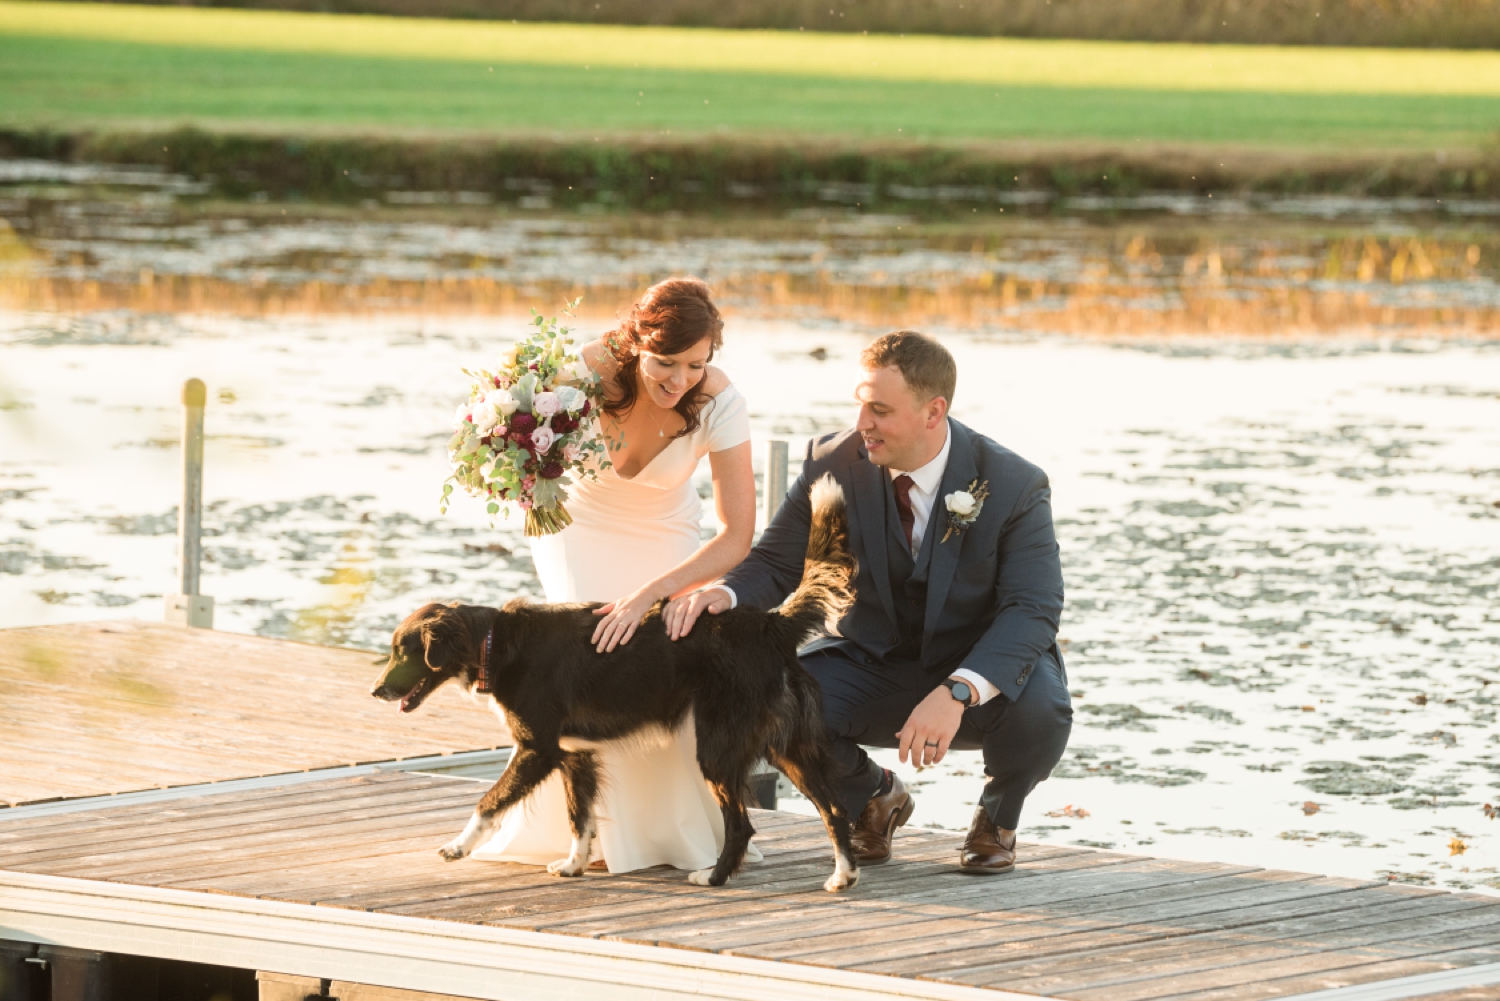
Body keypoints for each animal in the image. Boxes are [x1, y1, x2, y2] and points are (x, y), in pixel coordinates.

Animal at [370, 477, 864, 894]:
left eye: (402, 651)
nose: (376, 691)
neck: (496, 643)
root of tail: (771, 625)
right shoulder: (576, 756)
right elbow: (581, 818)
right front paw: (574, 865)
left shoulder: (537, 749)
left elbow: (489, 802)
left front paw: (458, 847)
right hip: (786, 746)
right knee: (835, 807)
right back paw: (842, 876)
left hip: (719, 746)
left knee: (742, 824)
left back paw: (713, 878)